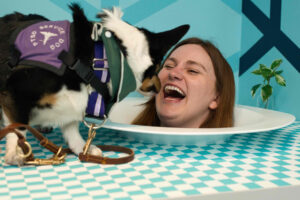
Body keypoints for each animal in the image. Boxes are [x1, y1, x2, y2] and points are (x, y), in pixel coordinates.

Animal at [0, 3, 189, 165]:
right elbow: (18, 128)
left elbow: (71, 130)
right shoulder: (15, 91)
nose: (159, 88)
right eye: (159, 66)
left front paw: (84, 149)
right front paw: (17, 152)